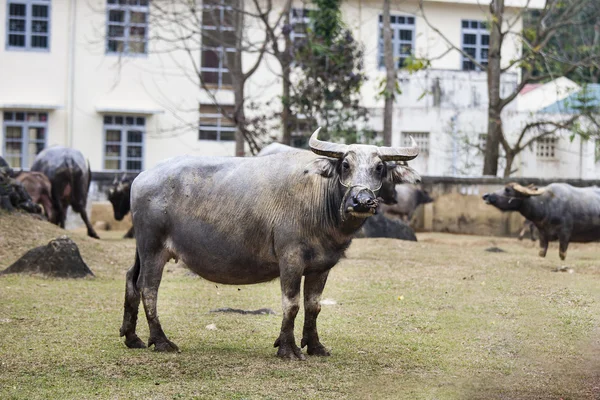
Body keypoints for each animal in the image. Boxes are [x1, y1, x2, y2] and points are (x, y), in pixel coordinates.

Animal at [120, 129, 422, 360]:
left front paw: (315, 346)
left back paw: (132, 337)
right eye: (346, 165)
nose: (362, 201)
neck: (318, 200)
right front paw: (287, 348)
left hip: (141, 250)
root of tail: (141, 177)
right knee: (149, 289)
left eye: (379, 167)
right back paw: (161, 341)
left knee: (132, 280)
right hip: (153, 249)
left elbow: (314, 305)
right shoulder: (290, 259)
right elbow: (292, 304)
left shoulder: (321, 266)